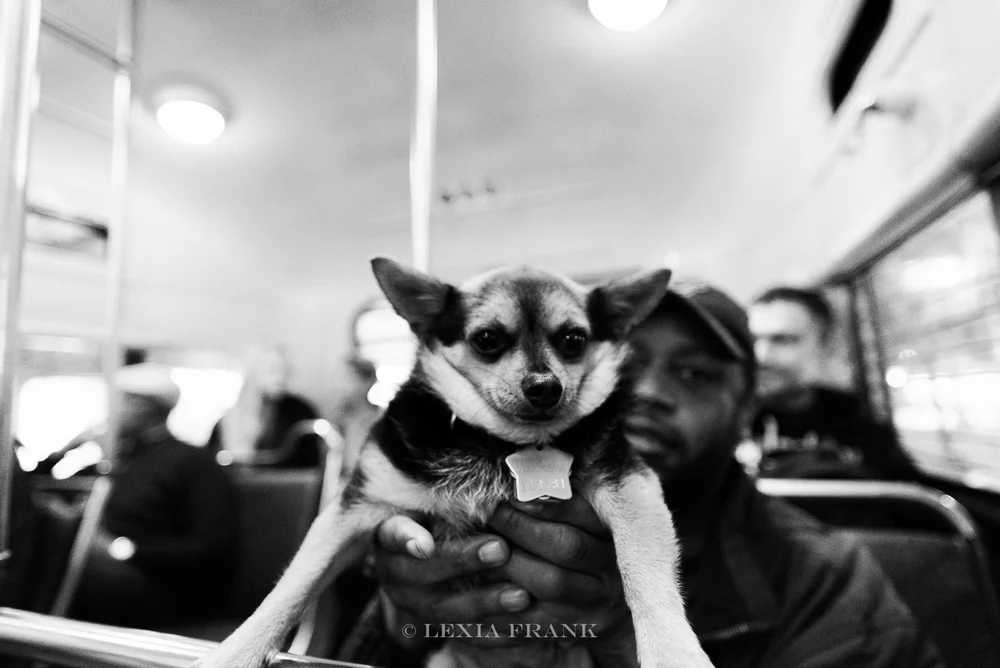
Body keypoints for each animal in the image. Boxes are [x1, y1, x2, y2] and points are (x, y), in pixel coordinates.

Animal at [195, 257, 713, 668]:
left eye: (573, 340)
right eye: (486, 339)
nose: (545, 387)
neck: (499, 444)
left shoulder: (630, 486)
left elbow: (644, 572)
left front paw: (673, 653)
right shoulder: (352, 511)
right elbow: (292, 587)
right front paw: (235, 652)